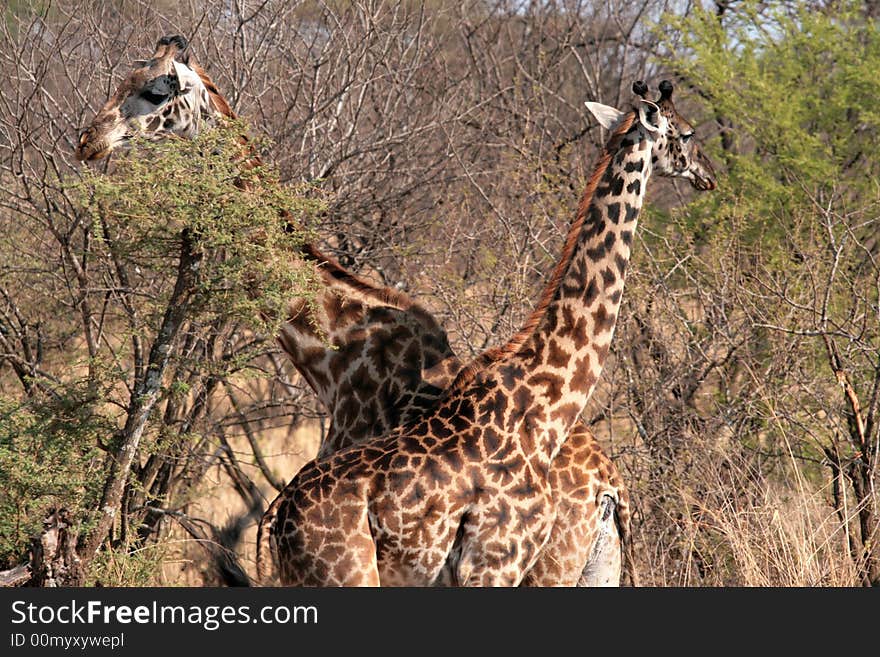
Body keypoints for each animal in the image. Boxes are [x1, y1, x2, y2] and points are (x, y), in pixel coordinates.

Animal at [77, 33, 640, 588]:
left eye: (155, 91)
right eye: (122, 78)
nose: (87, 140)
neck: (336, 358)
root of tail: (609, 489)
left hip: (539, 564)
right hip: (593, 568)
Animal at [266, 79, 716, 588]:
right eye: (686, 132)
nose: (708, 174)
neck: (542, 409)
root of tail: (278, 518)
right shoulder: (494, 562)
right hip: (348, 573)